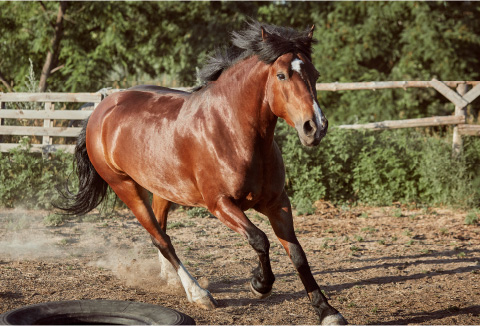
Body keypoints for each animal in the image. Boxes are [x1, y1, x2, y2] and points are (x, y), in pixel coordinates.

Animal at [58, 21, 346, 324]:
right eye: (281, 75)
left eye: (315, 74)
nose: (315, 127)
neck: (232, 131)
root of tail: (101, 110)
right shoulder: (220, 204)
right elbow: (260, 239)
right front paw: (259, 284)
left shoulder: (277, 203)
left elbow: (298, 253)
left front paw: (327, 311)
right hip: (125, 187)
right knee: (161, 239)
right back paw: (198, 294)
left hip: (163, 188)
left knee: (160, 231)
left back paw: (173, 280)